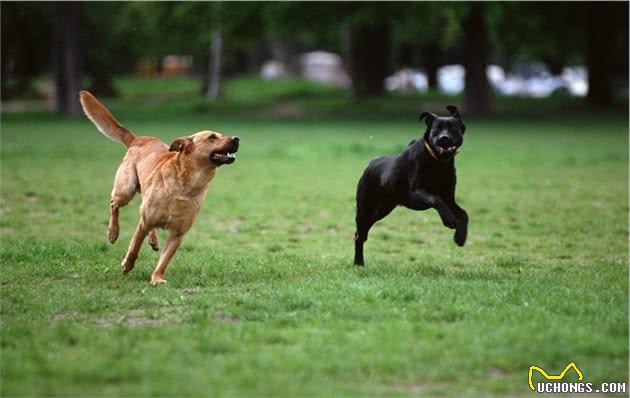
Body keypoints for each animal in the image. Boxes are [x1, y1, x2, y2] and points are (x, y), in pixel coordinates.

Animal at [356, 107, 470, 266]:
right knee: (359, 235)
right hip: (366, 209)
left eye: (453, 128)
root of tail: (371, 163)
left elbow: (464, 213)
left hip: (382, 210)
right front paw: (449, 220)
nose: (444, 138)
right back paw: (358, 262)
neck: (437, 161)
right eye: (436, 128)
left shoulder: (449, 198)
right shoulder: (415, 194)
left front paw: (460, 237)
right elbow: (435, 199)